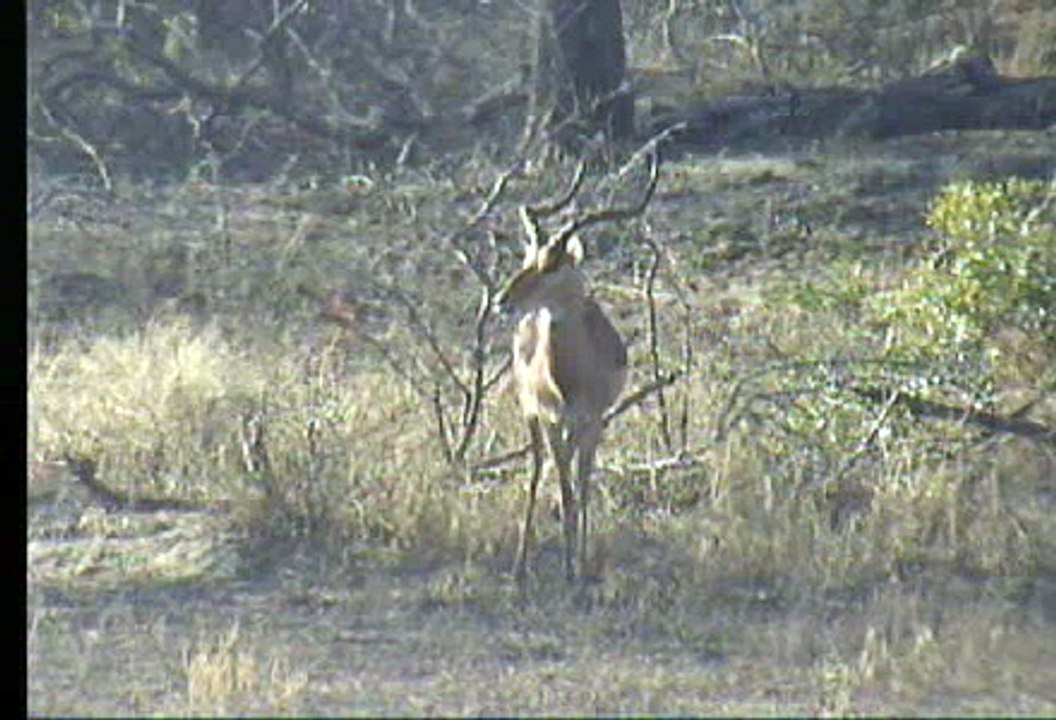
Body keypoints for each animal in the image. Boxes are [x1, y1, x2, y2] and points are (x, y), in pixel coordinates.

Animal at [496, 150, 661, 582]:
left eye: (553, 264)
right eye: (528, 257)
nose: (503, 299)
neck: (570, 379)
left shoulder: (595, 421)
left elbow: (582, 491)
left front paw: (581, 568)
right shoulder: (553, 420)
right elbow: (567, 493)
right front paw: (570, 572)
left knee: (568, 473)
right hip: (532, 414)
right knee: (538, 470)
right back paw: (520, 568)